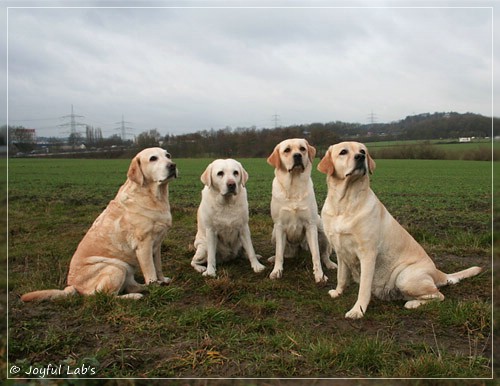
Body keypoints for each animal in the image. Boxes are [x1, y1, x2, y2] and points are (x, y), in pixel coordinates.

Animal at [21, 148, 178, 302]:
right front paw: (156, 289)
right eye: (153, 158)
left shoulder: (157, 244)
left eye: (168, 155)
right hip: (115, 267)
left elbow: (158, 266)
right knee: (106, 296)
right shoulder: (144, 245)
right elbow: (151, 272)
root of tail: (73, 286)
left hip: (126, 268)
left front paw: (162, 281)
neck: (155, 196)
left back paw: (143, 288)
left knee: (130, 286)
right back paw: (135, 296)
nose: (172, 165)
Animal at [268, 137, 338, 282]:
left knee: (324, 254)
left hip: (322, 230)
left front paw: (319, 275)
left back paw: (330, 264)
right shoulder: (279, 226)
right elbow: (279, 253)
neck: (294, 186)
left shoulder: (310, 225)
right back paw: (272, 258)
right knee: (284, 254)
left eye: (302, 149)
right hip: (274, 234)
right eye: (287, 150)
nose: (297, 156)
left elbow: (316, 254)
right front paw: (277, 271)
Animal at [318, 142, 482, 320]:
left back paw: (412, 303)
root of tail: (438, 273)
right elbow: (341, 276)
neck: (344, 204)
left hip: (404, 277)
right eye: (343, 152)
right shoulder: (340, 251)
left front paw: (357, 310)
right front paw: (338, 292)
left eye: (363, 151)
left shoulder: (368, 254)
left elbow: (363, 288)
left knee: (438, 295)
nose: (360, 157)